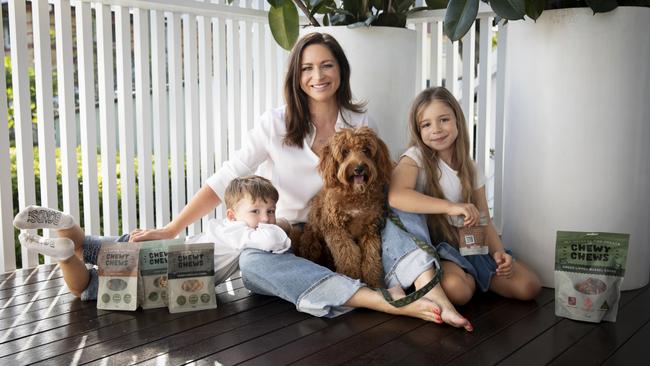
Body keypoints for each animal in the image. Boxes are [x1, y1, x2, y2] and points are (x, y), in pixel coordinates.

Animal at [292, 127, 390, 288]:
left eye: (366, 150)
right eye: (345, 152)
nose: (359, 168)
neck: (356, 195)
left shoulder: (370, 229)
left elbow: (371, 257)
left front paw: (374, 283)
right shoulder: (335, 228)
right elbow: (348, 254)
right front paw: (352, 277)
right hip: (313, 241)